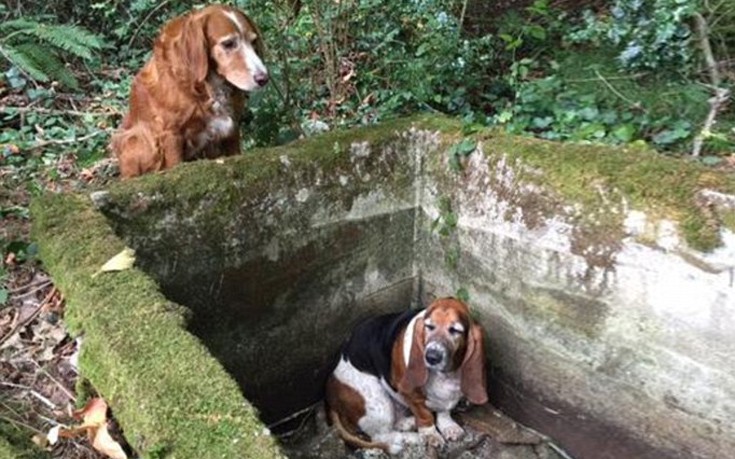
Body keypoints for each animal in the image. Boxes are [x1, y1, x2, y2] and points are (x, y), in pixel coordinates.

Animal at [112, 4, 268, 179]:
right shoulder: (171, 134)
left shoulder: (232, 127)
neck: (205, 87)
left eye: (253, 42)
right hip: (136, 139)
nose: (264, 78)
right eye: (228, 43)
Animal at [324, 300, 486, 454]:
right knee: (382, 436)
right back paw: (413, 437)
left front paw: (448, 426)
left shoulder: (449, 396)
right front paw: (430, 435)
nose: (432, 357)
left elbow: (444, 411)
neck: (444, 375)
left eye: (455, 330)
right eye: (429, 326)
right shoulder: (411, 394)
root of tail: (331, 396)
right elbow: (424, 415)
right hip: (378, 401)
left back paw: (409, 423)